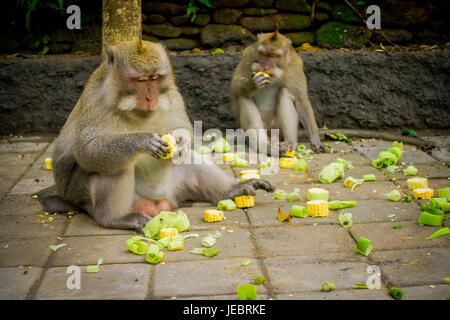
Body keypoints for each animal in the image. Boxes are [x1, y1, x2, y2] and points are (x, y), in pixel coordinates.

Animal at [43, 39, 274, 230]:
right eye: (140, 80)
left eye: (154, 79)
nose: (150, 97)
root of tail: (158, 204)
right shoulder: (96, 101)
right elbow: (87, 150)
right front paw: (141, 142)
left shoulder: (171, 92)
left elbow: (183, 129)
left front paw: (181, 141)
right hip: (82, 194)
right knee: (112, 166)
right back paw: (115, 218)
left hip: (174, 188)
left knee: (187, 158)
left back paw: (233, 189)